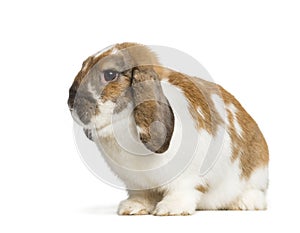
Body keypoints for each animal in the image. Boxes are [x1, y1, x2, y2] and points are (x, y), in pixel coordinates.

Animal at [68, 42, 270, 216]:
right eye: (83, 66)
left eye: (110, 74)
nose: (71, 102)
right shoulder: (137, 184)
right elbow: (141, 196)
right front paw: (132, 208)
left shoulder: (188, 177)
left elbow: (183, 190)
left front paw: (171, 209)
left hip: (254, 175)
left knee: (256, 194)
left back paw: (243, 203)